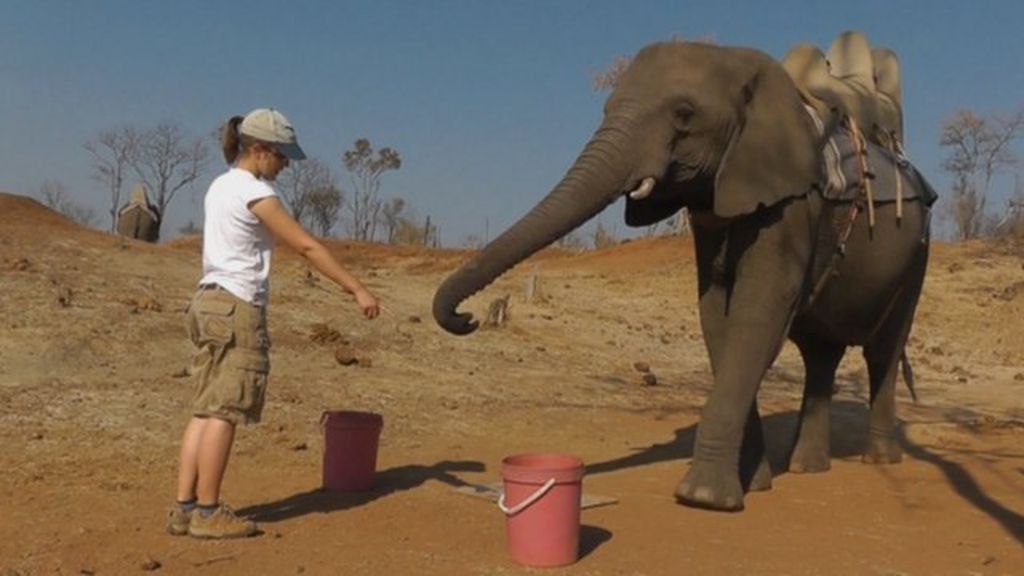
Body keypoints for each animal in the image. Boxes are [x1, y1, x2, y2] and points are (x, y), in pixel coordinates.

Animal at [432, 38, 937, 508]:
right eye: (606, 109)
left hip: (918, 252)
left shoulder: (793, 204)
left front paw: (704, 498)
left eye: (683, 113)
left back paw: (878, 459)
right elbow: (717, 317)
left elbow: (757, 314)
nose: (466, 318)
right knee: (820, 353)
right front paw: (755, 482)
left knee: (883, 350)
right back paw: (807, 468)